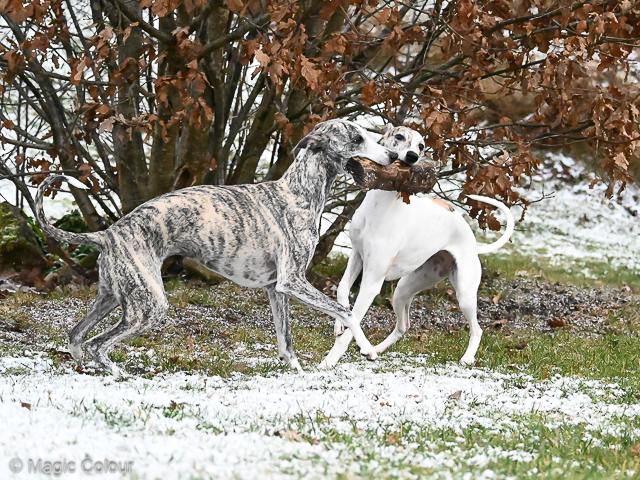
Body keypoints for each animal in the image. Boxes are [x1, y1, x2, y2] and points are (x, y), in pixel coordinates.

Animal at [320, 124, 516, 368]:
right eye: (399, 136)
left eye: (421, 146)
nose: (412, 156)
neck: (379, 207)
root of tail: (472, 242)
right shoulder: (357, 256)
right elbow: (342, 290)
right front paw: (339, 323)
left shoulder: (372, 282)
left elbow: (352, 322)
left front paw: (330, 360)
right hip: (404, 289)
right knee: (403, 326)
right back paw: (377, 348)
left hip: (465, 294)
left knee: (477, 329)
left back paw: (468, 357)